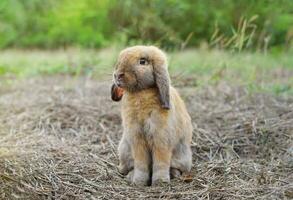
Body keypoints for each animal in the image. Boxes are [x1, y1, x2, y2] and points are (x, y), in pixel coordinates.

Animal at [110, 45, 192, 186]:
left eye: (142, 62)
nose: (118, 74)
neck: (141, 92)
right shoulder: (137, 139)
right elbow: (141, 163)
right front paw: (139, 182)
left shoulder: (161, 139)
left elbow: (161, 162)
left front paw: (160, 182)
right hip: (124, 149)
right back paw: (129, 176)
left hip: (183, 157)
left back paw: (174, 174)